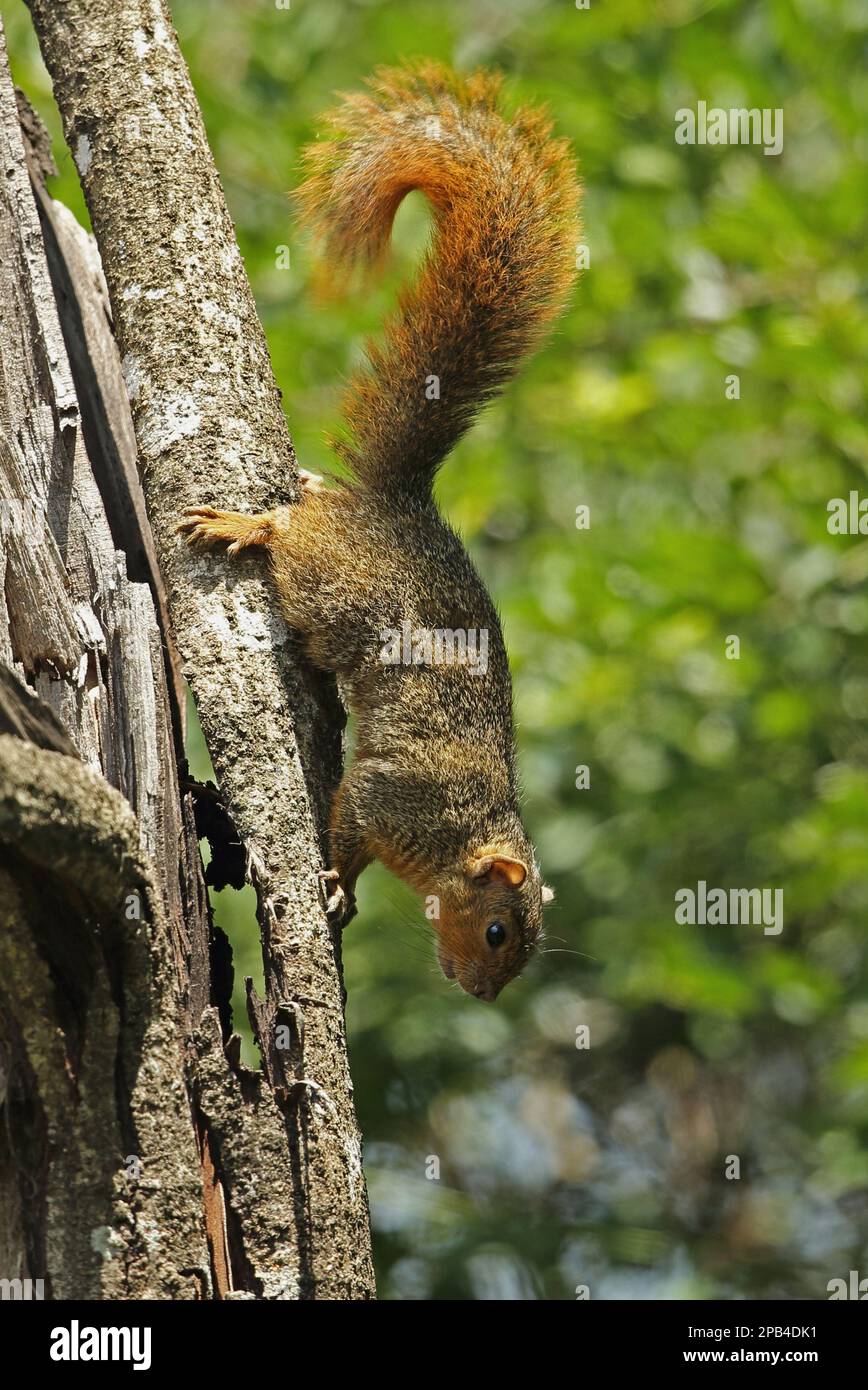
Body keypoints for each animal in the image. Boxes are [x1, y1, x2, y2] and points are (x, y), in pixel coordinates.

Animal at [179, 62, 578, 1000]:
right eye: (498, 931)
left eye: (521, 950)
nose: (480, 991)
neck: (460, 839)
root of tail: (397, 505)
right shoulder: (393, 797)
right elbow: (351, 825)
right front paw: (337, 887)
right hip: (330, 585)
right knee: (286, 534)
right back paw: (245, 520)